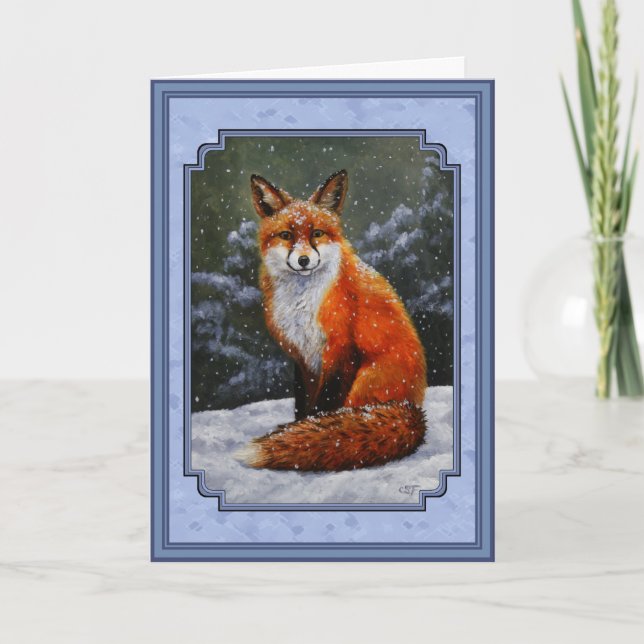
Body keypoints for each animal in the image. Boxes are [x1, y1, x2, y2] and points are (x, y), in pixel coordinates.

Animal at [238, 169, 428, 472]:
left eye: (317, 233)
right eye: (286, 235)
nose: (304, 260)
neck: (302, 303)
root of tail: (414, 408)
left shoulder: (341, 349)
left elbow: (323, 406)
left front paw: (303, 435)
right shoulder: (302, 355)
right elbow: (303, 403)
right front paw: (297, 429)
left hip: (365, 383)